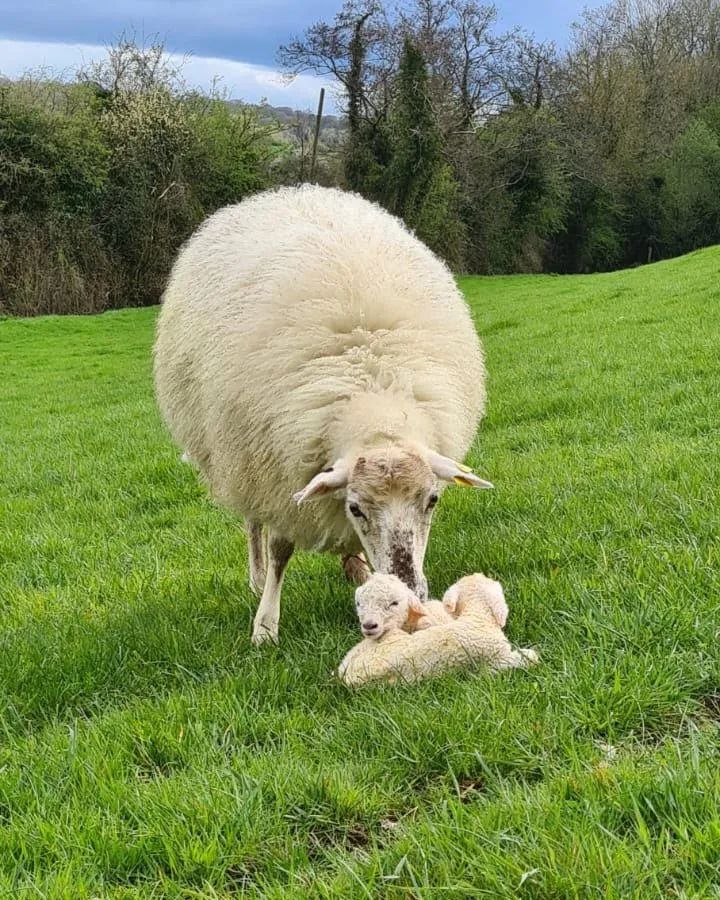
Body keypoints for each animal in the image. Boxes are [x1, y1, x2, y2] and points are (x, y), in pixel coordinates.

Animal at [153, 186, 490, 644]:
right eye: (357, 508)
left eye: (433, 500)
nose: (408, 589)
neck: (374, 399)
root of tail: (280, 194)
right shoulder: (278, 476)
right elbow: (280, 549)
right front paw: (266, 625)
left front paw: (366, 579)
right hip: (239, 456)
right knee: (252, 522)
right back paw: (257, 576)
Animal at [336, 572, 536, 684]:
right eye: (358, 603)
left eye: (394, 603)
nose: (369, 625)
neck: (477, 619)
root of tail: (346, 675)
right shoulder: (496, 659)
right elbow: (527, 658)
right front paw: (531, 655)